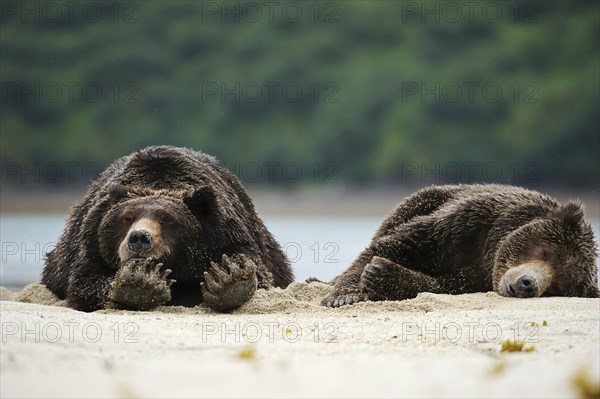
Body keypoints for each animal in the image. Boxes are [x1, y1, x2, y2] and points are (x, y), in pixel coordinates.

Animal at [42, 147, 296, 312]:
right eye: (127, 217)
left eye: (167, 219)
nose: (139, 238)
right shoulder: (92, 240)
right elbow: (85, 281)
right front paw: (140, 282)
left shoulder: (225, 232)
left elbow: (255, 270)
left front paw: (229, 278)